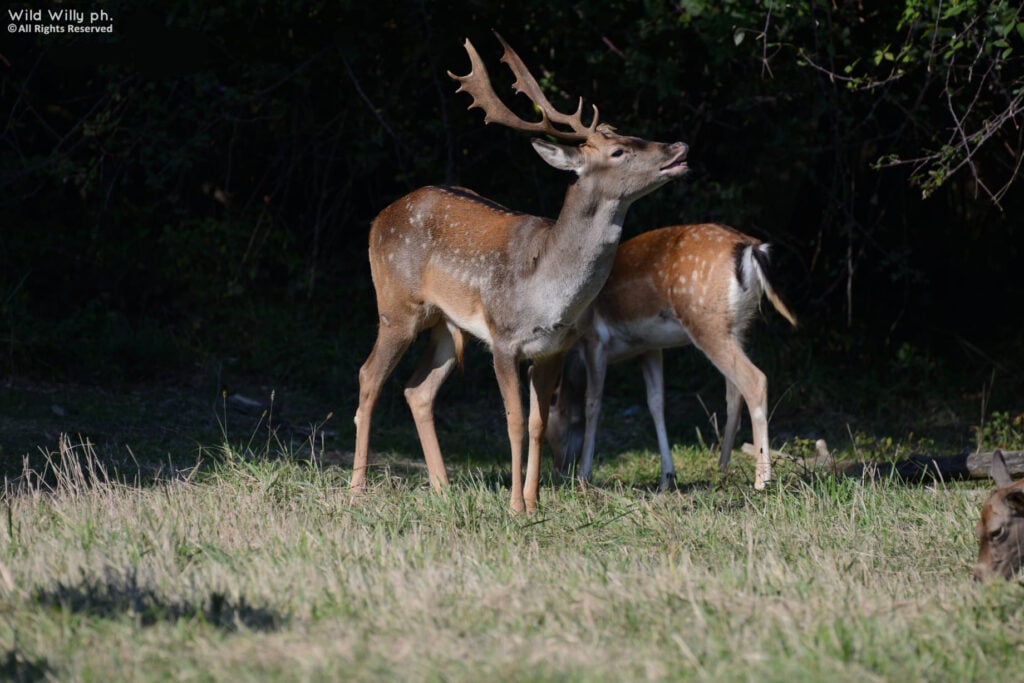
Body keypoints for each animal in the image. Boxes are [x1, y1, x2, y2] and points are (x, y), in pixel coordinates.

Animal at [350, 31, 688, 511]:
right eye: (619, 150)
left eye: (631, 134)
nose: (678, 147)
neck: (547, 291)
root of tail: (379, 219)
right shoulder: (504, 339)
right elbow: (512, 421)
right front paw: (513, 505)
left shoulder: (554, 348)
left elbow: (538, 424)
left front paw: (535, 501)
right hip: (396, 305)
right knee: (369, 376)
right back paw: (357, 487)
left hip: (445, 323)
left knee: (417, 390)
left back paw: (443, 487)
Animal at [548, 224, 794, 491]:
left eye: (551, 434)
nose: (558, 471)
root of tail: (750, 248)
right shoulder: (649, 347)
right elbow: (656, 403)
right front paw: (667, 476)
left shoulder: (595, 339)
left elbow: (592, 403)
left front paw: (584, 475)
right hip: (737, 327)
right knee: (734, 393)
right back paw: (721, 470)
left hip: (706, 323)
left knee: (755, 380)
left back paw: (762, 480)